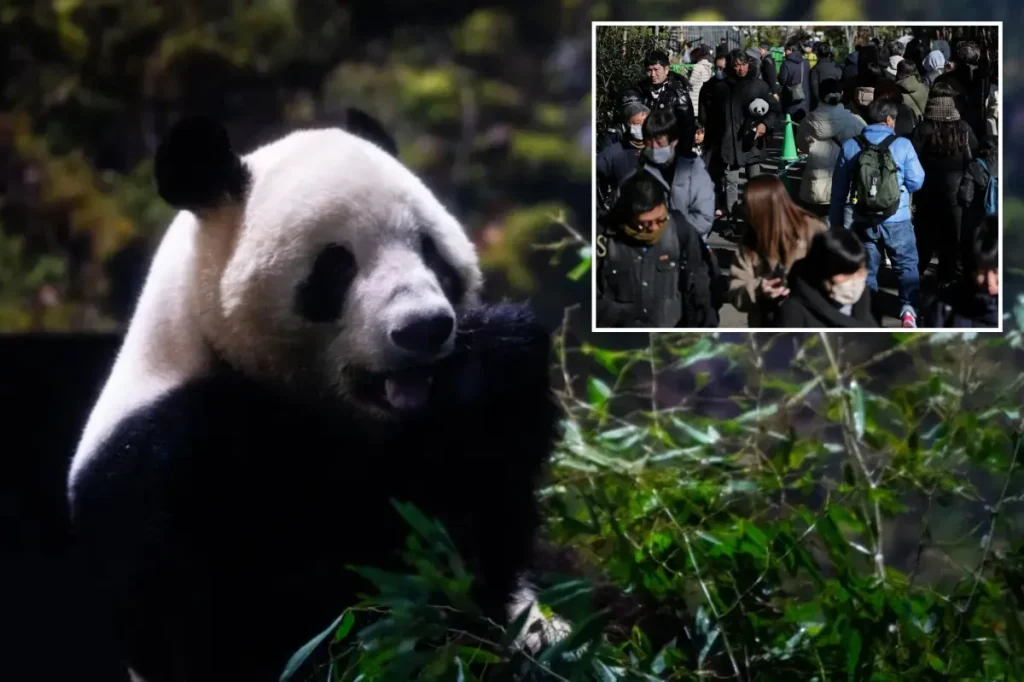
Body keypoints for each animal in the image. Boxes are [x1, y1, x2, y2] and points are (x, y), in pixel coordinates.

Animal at [66, 116, 568, 682]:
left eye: (431, 251)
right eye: (336, 266)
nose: (423, 328)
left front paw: (496, 358)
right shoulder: (163, 466)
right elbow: (286, 623)